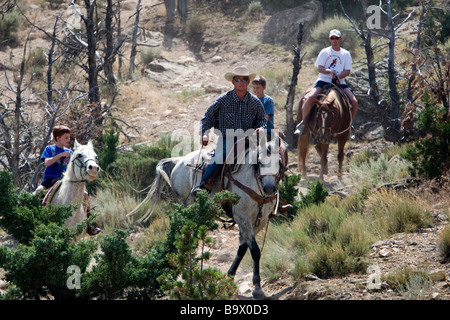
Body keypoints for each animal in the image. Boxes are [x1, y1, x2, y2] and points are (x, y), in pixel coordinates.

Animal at [128, 136, 284, 300]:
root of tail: (179, 160)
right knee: (187, 236)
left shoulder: (260, 221)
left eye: (279, 161)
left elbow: (243, 248)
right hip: (187, 206)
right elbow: (254, 250)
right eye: (259, 161)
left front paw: (230, 276)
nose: (269, 188)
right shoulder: (242, 217)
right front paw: (257, 288)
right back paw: (191, 274)